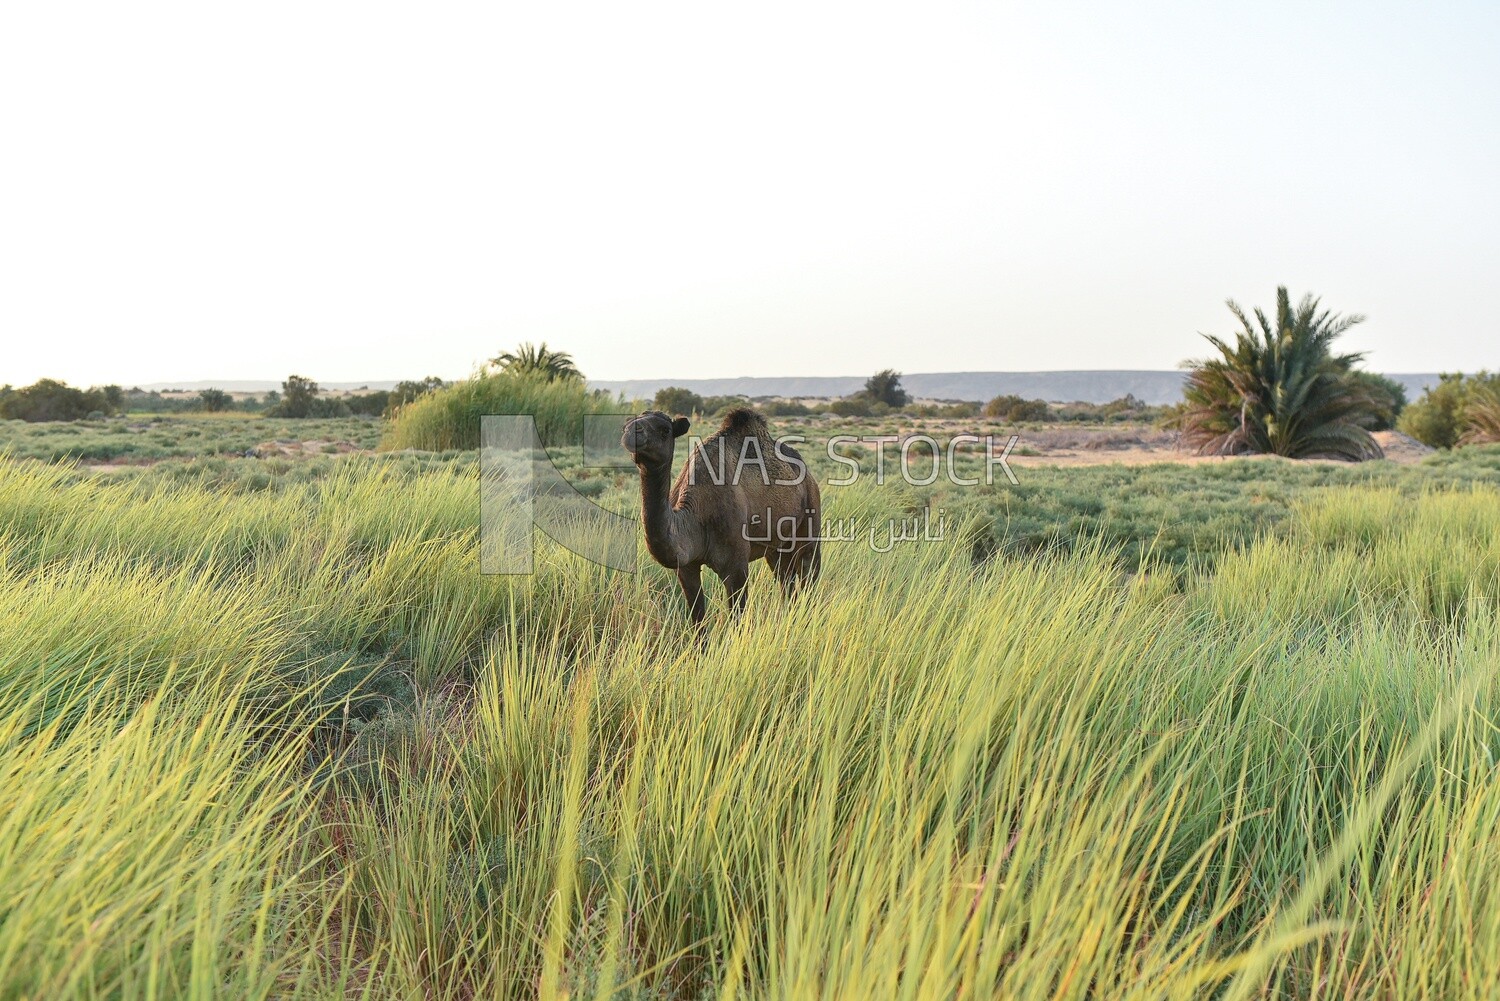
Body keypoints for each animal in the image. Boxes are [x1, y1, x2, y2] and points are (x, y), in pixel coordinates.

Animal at [627, 408, 828, 618]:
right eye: (626, 424)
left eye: (665, 430)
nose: (632, 431)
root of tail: (809, 475)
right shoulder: (686, 568)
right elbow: (697, 615)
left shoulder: (736, 566)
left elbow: (736, 616)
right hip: (776, 547)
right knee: (785, 578)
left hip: (811, 514)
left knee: (808, 571)